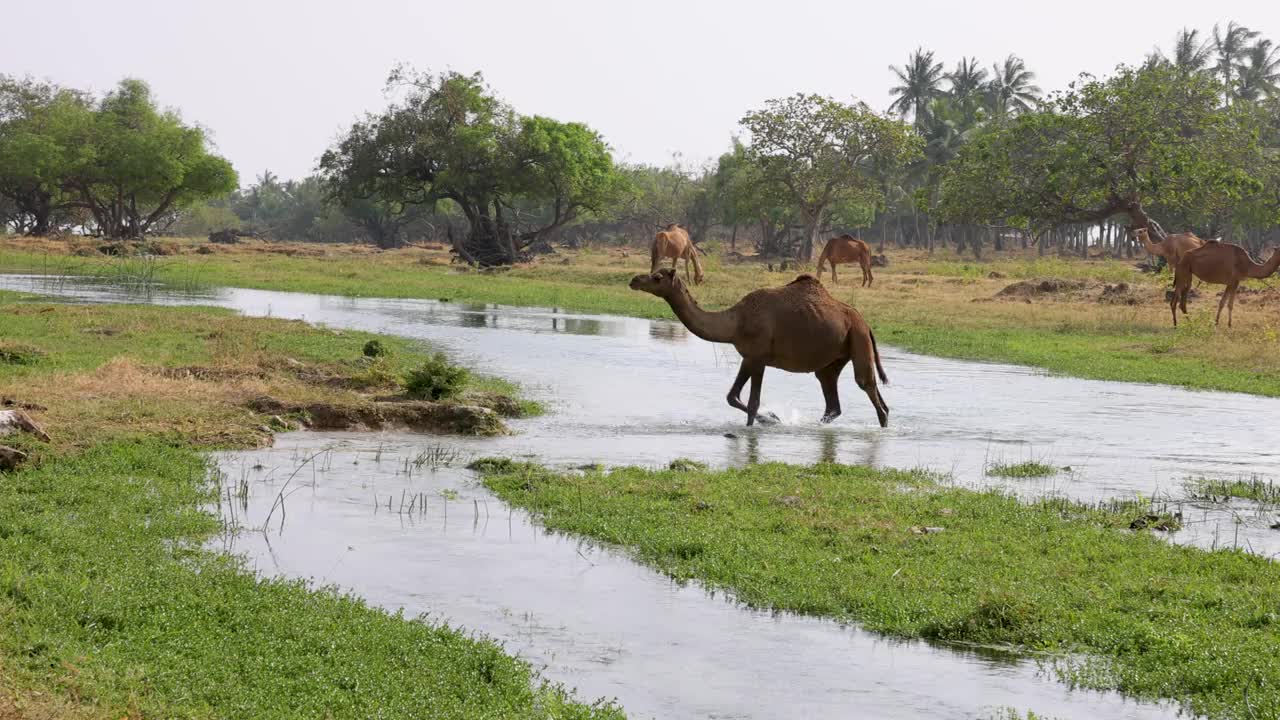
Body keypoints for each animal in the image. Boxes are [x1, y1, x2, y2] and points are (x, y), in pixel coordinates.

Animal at [629, 267, 890, 425]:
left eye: (657, 277)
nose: (634, 280)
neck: (736, 321)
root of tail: (866, 324)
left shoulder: (760, 357)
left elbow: (753, 402)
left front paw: (760, 423)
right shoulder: (748, 357)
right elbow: (732, 396)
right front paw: (773, 417)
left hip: (858, 340)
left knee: (868, 386)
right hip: (834, 357)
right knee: (831, 395)